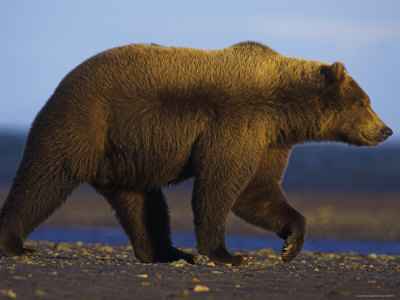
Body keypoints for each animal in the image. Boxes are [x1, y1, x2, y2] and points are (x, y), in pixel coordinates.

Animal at [0, 41, 392, 264]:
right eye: (364, 102)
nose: (385, 129)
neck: (283, 109)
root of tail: (63, 81)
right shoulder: (236, 122)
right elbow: (221, 184)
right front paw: (226, 254)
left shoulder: (269, 139)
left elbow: (258, 191)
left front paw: (291, 244)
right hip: (83, 124)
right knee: (43, 179)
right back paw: (15, 244)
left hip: (130, 157)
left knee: (141, 203)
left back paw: (165, 252)